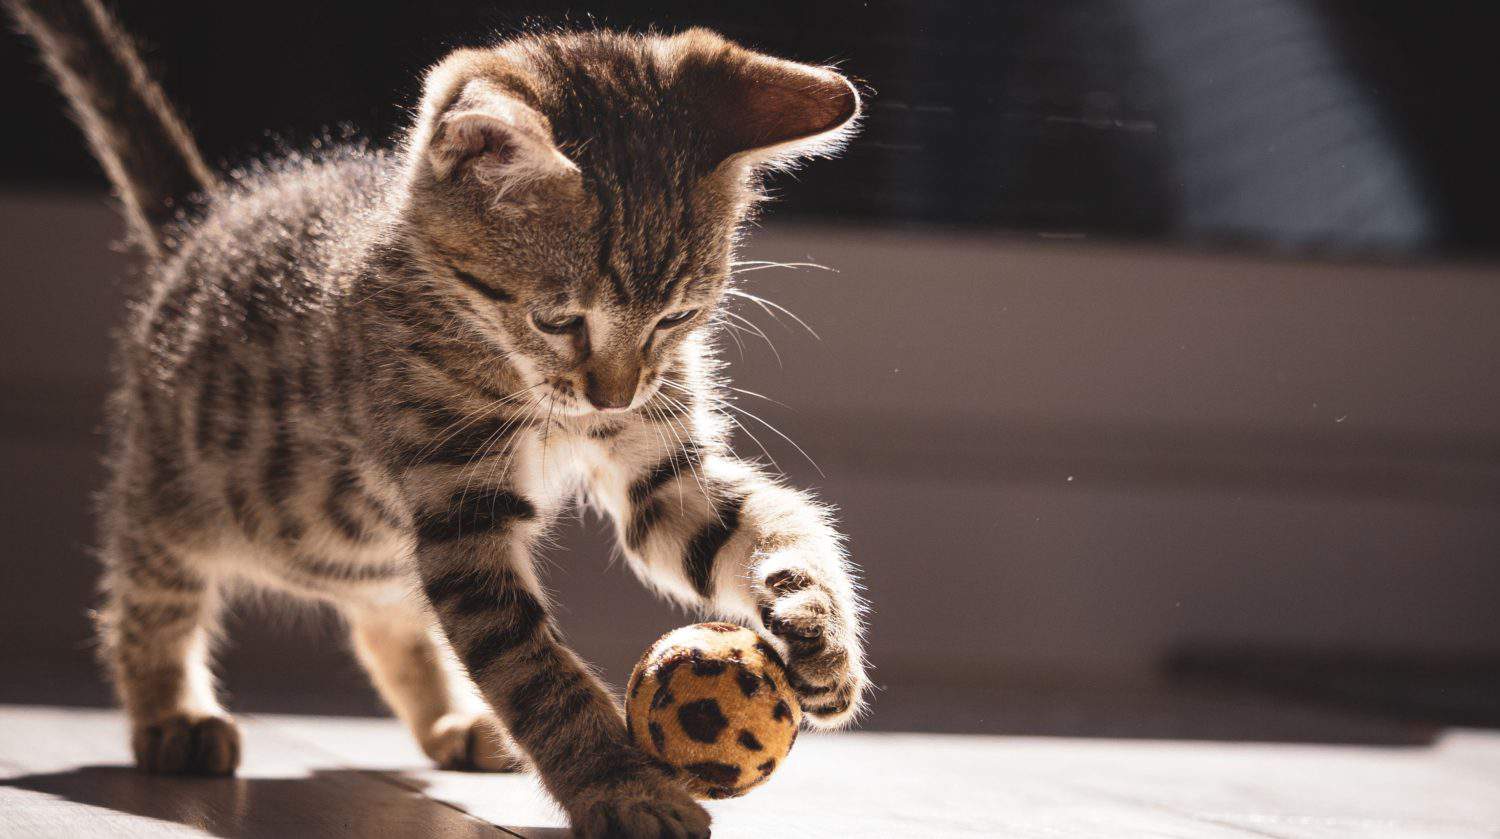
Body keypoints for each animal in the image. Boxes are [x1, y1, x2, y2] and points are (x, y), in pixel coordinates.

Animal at [8, 3, 870, 834]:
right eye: (560, 320)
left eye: (677, 317)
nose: (614, 396)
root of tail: (207, 224)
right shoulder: (461, 509)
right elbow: (531, 667)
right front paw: (620, 785)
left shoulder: (660, 474)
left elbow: (762, 523)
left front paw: (818, 628)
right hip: (176, 492)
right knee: (146, 593)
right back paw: (172, 713)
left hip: (369, 548)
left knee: (387, 617)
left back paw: (454, 721)